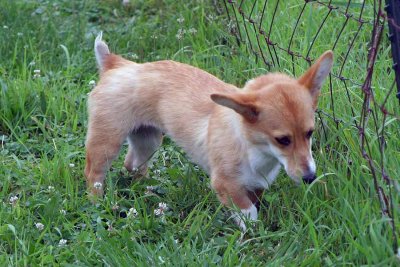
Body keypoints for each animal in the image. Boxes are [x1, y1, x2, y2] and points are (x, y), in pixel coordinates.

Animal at [86, 33, 332, 230]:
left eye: (310, 133)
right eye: (282, 140)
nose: (310, 178)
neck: (255, 150)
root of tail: (117, 64)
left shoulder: (255, 185)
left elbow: (254, 203)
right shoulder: (225, 185)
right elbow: (248, 212)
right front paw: (252, 236)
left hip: (148, 141)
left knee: (132, 165)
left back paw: (147, 192)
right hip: (107, 142)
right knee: (93, 174)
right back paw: (98, 203)